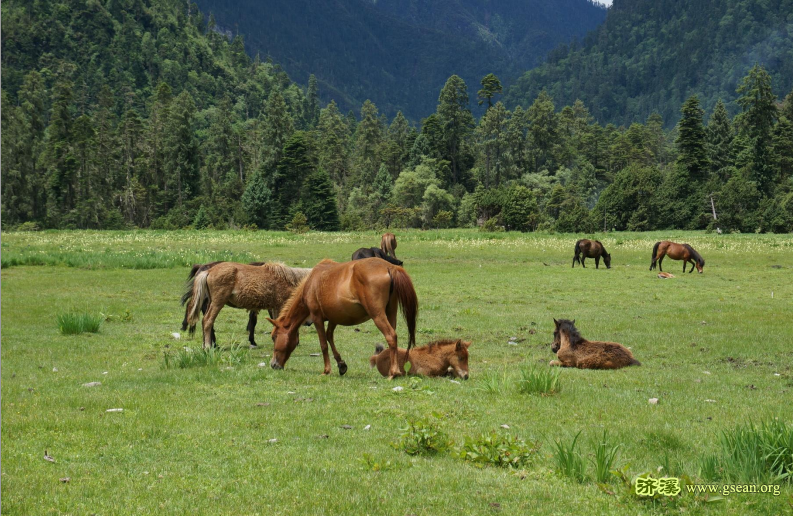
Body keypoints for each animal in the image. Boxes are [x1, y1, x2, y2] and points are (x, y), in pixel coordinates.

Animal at [266, 260, 418, 376]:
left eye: (274, 337)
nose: (273, 364)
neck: (312, 282)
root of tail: (389, 266)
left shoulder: (316, 317)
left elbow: (323, 344)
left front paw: (326, 370)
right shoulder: (334, 318)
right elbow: (329, 337)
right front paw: (341, 364)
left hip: (378, 315)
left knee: (391, 336)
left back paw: (394, 372)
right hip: (390, 312)